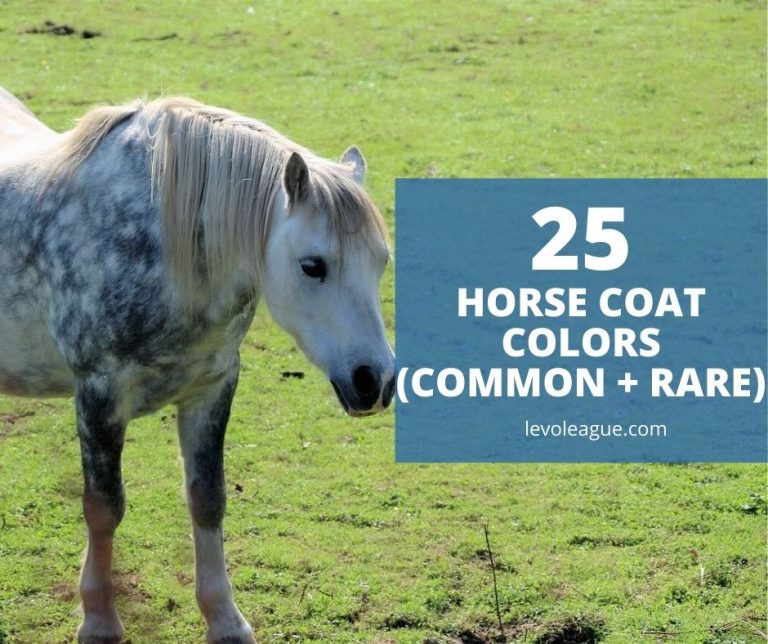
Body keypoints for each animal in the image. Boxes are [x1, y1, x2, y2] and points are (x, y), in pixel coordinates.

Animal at [0, 87, 395, 643]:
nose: (375, 381)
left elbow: (208, 499)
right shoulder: (98, 394)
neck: (164, 252)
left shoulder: (212, 387)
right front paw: (99, 619)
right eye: (312, 266)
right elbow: (103, 507)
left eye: (381, 261)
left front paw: (225, 619)